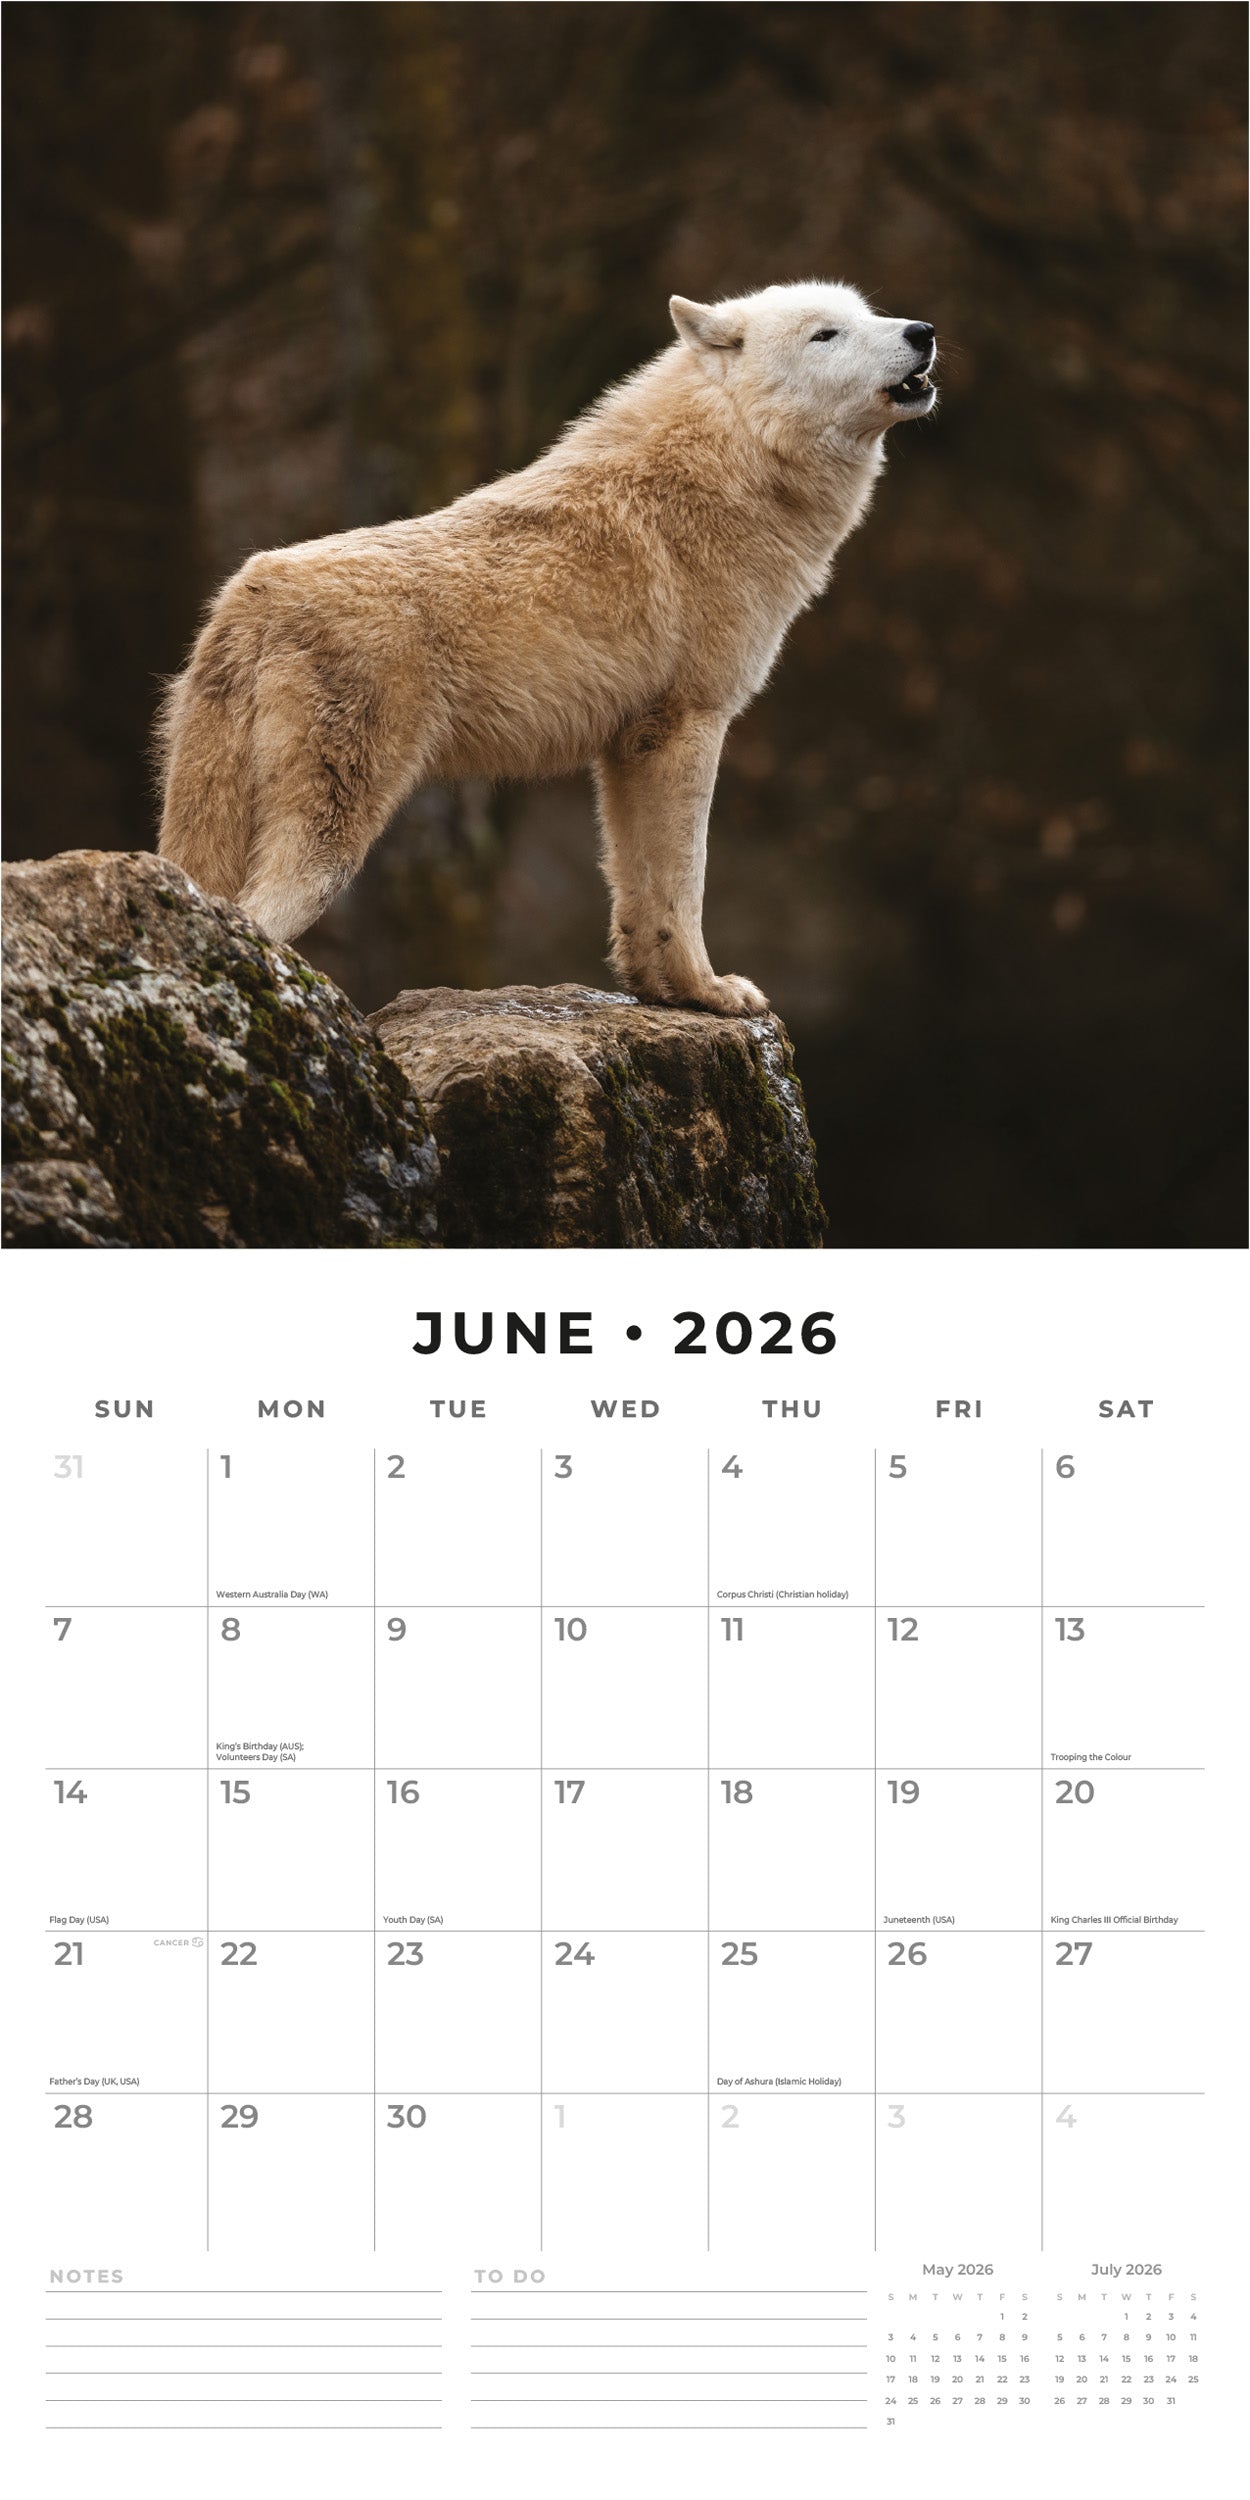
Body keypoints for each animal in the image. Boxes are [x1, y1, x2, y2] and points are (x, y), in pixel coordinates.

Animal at [157, 282, 936, 1015]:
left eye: (871, 314)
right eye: (825, 334)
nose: (924, 331)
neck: (734, 464)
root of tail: (251, 592)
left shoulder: (629, 746)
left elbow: (637, 895)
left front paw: (663, 995)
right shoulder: (691, 725)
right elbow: (686, 881)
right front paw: (710, 992)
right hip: (332, 845)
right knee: (256, 920)